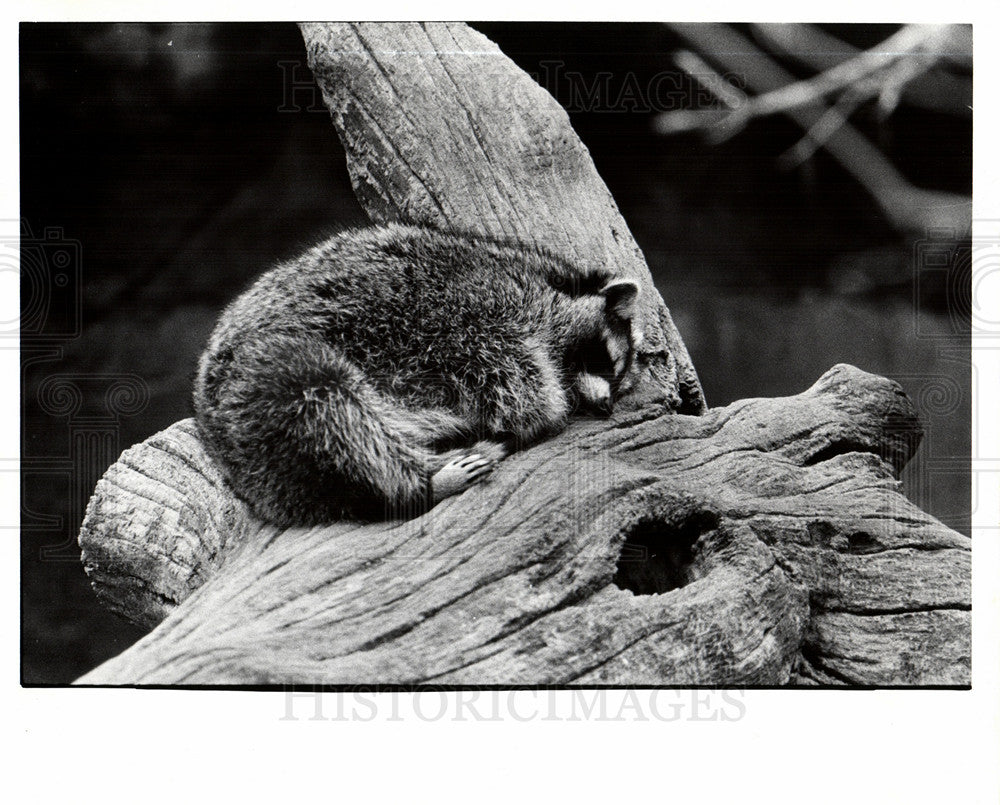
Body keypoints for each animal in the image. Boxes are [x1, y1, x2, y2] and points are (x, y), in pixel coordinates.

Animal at [192, 223, 644, 524]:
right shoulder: (470, 313)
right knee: (328, 398)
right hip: (263, 374)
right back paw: (418, 484)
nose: (606, 406)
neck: (545, 282)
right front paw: (542, 411)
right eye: (606, 360)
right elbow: (512, 377)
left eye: (620, 377)